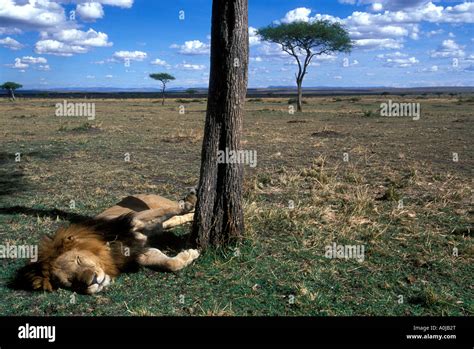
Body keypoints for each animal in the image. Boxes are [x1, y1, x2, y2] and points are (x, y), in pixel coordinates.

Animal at [12, 190, 198, 294]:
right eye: (70, 282)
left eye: (78, 260)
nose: (93, 281)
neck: (109, 250)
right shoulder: (140, 252)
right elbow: (168, 263)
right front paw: (188, 255)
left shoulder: (133, 220)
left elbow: (168, 210)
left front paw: (186, 204)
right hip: (165, 223)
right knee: (177, 219)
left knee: (172, 208)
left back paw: (190, 201)